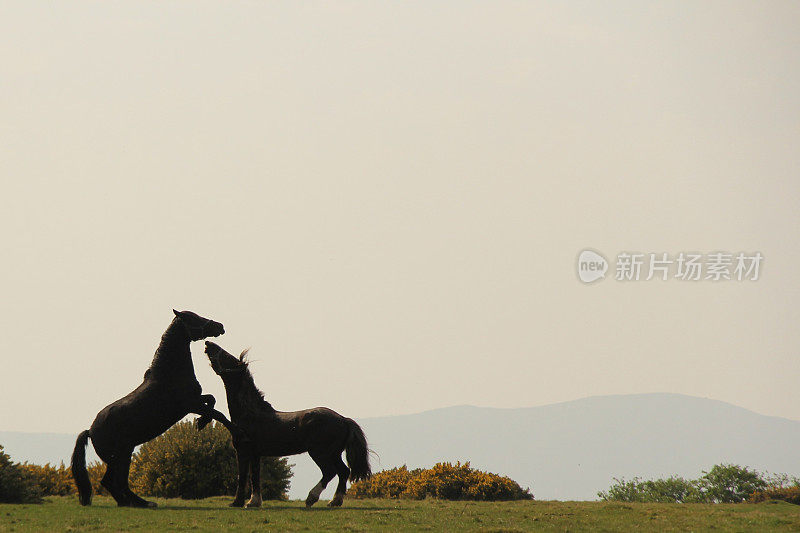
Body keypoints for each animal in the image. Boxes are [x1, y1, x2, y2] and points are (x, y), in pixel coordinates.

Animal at [71, 308, 238, 508]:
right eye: (194, 318)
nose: (219, 326)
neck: (169, 374)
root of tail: (91, 431)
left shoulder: (195, 401)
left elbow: (212, 400)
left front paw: (201, 423)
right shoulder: (190, 404)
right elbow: (219, 414)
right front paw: (222, 427)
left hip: (123, 455)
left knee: (115, 482)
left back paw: (135, 503)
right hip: (119, 456)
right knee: (113, 482)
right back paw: (140, 503)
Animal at [205, 340, 370, 508]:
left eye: (227, 356)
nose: (208, 343)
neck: (250, 414)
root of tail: (343, 419)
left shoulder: (243, 451)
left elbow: (243, 476)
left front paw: (237, 502)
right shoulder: (256, 454)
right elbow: (255, 477)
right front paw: (254, 501)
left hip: (320, 452)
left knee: (330, 472)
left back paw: (311, 498)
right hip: (334, 453)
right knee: (343, 471)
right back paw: (335, 501)